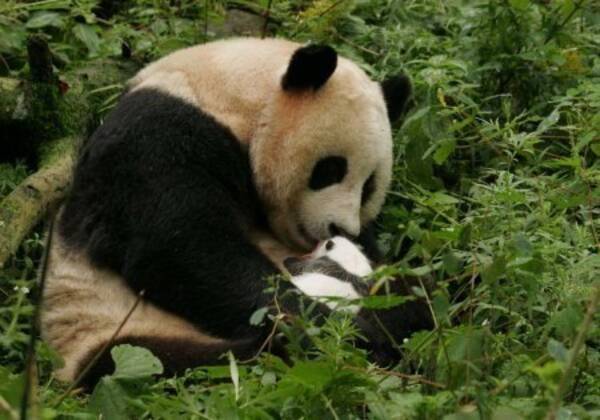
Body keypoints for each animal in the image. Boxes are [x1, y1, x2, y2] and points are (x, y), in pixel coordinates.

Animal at [39, 37, 410, 382]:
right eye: (331, 169)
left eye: (369, 186)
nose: (341, 229)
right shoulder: (155, 138)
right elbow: (182, 249)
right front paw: (342, 331)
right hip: (111, 325)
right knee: (163, 362)